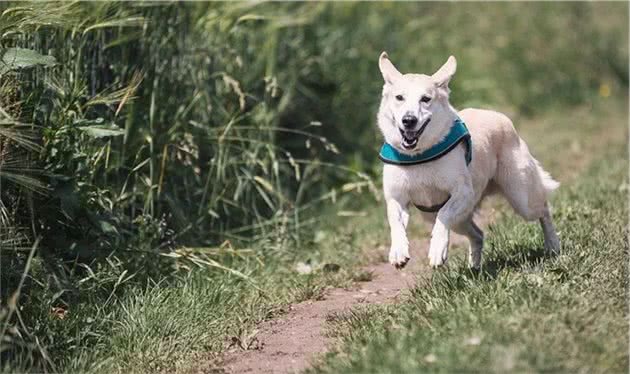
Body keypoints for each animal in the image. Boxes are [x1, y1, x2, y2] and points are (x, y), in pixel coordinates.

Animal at [380, 52, 564, 268]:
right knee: (478, 234)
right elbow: (395, 221)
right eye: (399, 97)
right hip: (452, 218)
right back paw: (474, 267)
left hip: (522, 197)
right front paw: (398, 251)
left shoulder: (463, 192)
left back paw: (553, 245)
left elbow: (444, 215)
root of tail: (499, 116)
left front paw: (437, 250)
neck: (419, 155)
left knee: (544, 209)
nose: (409, 120)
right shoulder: (396, 197)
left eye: (425, 99)